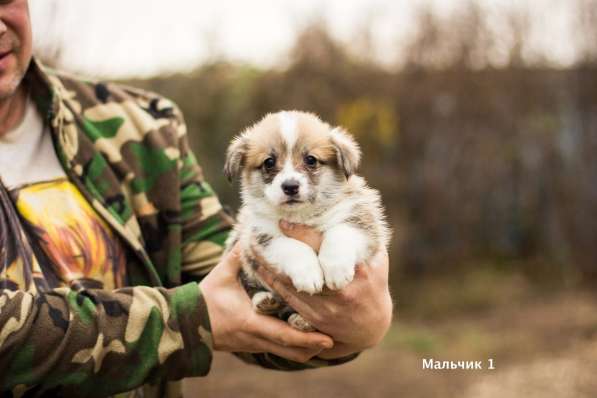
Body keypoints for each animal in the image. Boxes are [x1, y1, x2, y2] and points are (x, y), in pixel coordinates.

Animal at [222, 110, 386, 332]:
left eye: (311, 160)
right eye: (269, 162)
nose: (290, 186)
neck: (303, 215)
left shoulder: (360, 216)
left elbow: (341, 233)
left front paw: (336, 269)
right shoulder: (260, 235)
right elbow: (292, 247)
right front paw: (309, 275)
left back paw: (301, 319)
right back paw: (265, 301)